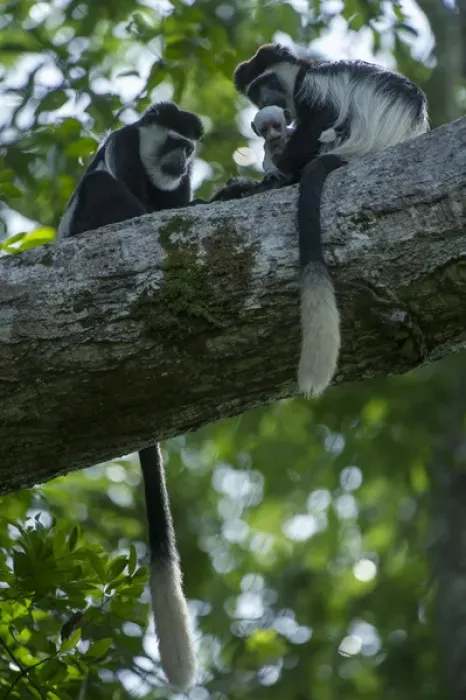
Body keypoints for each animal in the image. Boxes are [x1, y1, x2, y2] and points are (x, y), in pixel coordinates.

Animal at [216, 43, 429, 397]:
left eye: (267, 82)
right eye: (256, 92)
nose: (267, 98)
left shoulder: (311, 89)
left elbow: (317, 120)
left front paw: (270, 174)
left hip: (342, 139)